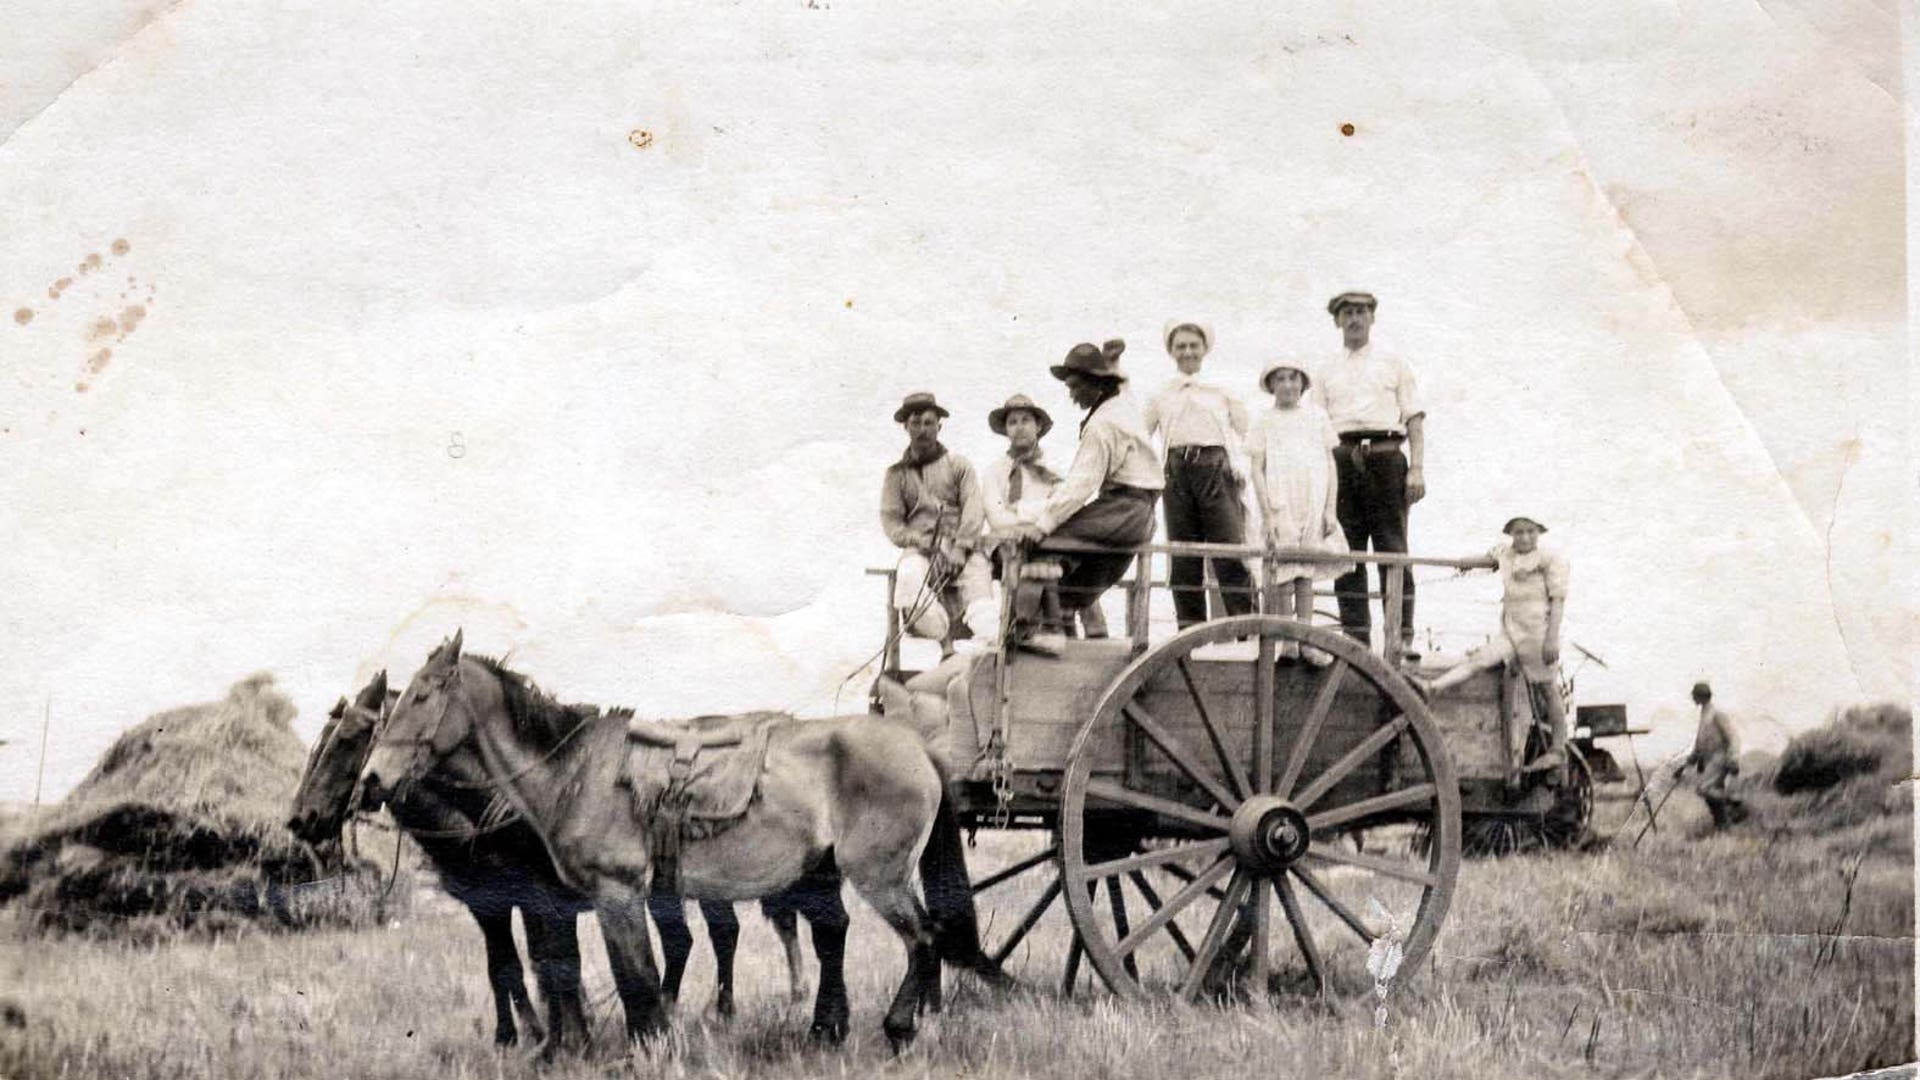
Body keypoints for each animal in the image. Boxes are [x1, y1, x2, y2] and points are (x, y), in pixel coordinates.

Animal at [284, 668, 833, 1045]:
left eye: (347, 740)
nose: (301, 818)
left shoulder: (540, 899)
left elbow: (551, 965)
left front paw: (561, 1037)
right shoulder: (491, 904)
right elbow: (509, 966)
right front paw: (524, 1035)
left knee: (728, 934)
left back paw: (724, 1009)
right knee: (698, 938)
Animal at [357, 626, 1006, 1045]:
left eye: (421, 696)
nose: (372, 780)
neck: (574, 772)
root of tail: (916, 745)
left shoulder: (617, 894)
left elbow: (636, 979)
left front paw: (649, 1043)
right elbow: (617, 974)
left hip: (880, 875)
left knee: (923, 938)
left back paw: (898, 1028)